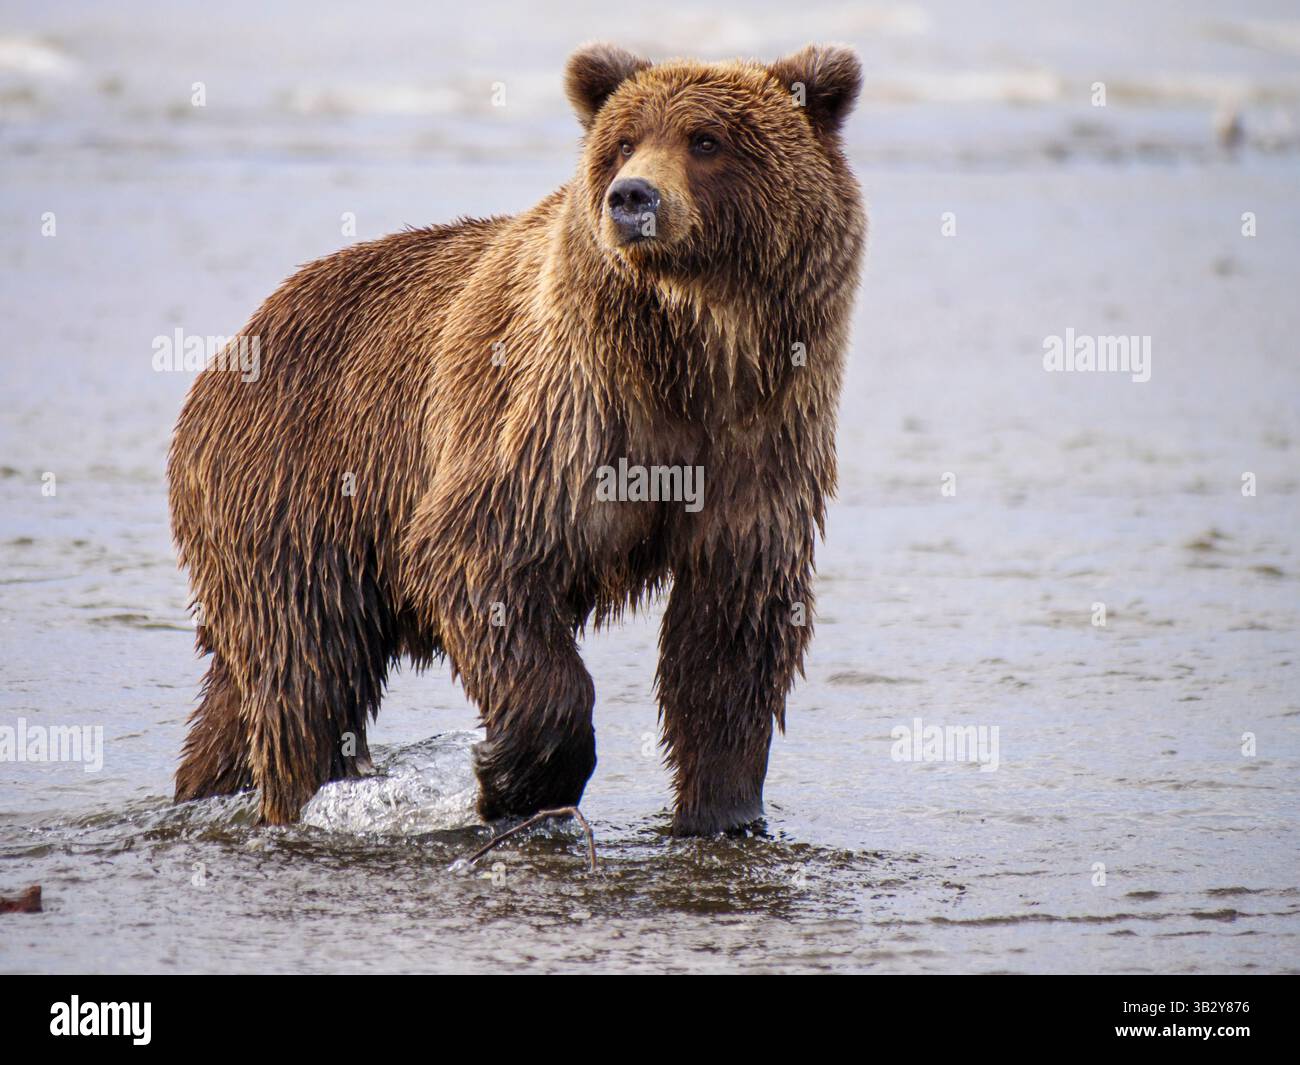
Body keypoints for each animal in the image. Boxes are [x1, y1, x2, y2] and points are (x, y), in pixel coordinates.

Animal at [169, 42, 866, 834]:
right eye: (622, 141)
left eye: (706, 140)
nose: (632, 197)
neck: (690, 351)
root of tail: (235, 342)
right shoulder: (560, 422)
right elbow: (481, 559)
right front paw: (510, 776)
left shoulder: (759, 444)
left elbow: (731, 630)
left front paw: (722, 806)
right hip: (296, 484)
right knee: (307, 666)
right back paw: (303, 794)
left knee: (240, 691)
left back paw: (208, 784)